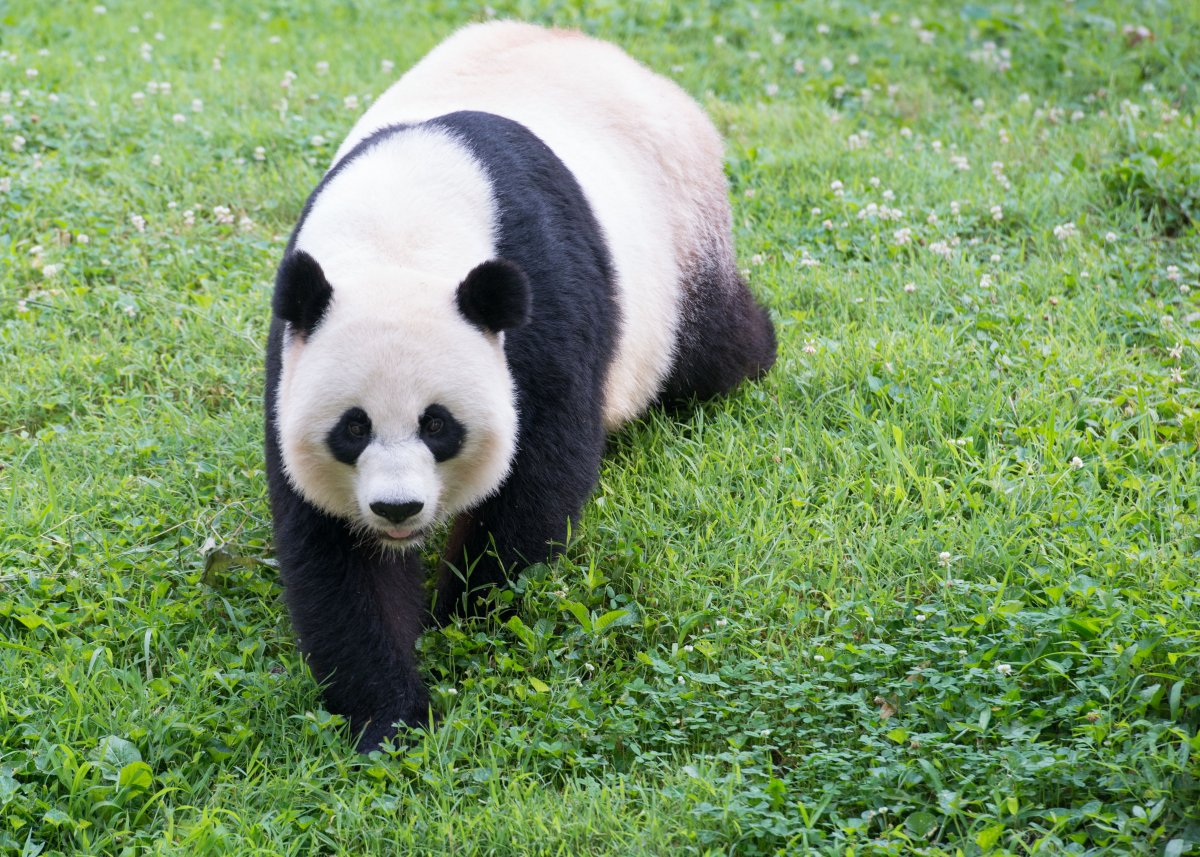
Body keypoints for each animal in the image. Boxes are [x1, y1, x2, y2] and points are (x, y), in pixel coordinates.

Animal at [265, 20, 777, 748]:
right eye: (352, 428)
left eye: (438, 424)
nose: (397, 509)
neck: (406, 225)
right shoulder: (296, 344)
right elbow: (332, 543)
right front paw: (388, 712)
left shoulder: (541, 301)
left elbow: (536, 477)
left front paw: (462, 613)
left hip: (680, 244)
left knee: (712, 349)